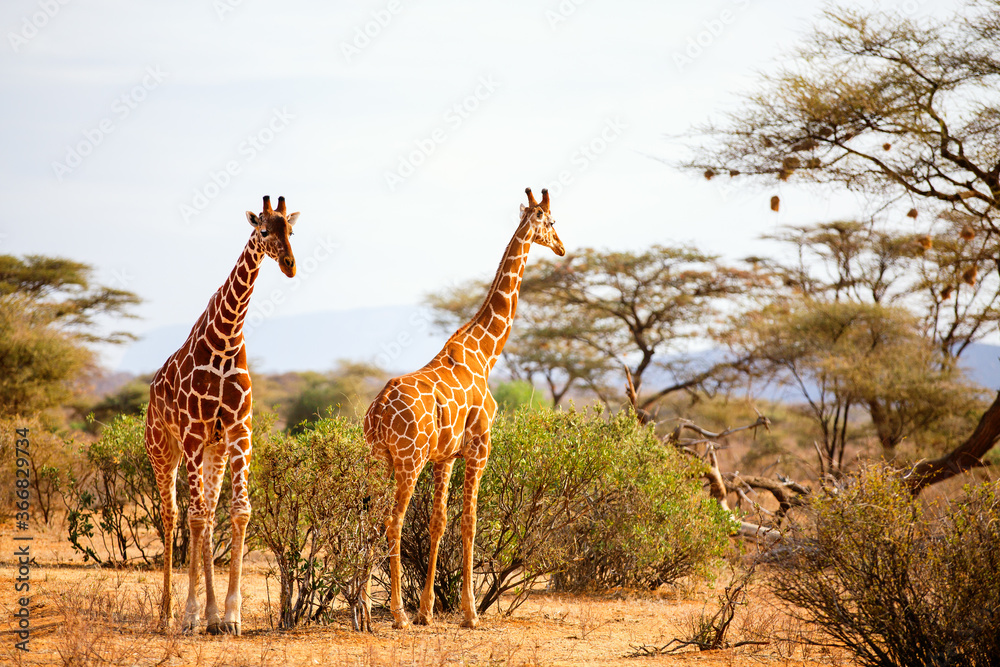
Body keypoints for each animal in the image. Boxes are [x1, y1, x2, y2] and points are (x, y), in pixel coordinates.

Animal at [145, 195, 299, 635]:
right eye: (263, 230)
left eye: (291, 230)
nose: (289, 265)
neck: (225, 338)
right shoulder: (195, 432)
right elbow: (195, 518)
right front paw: (192, 614)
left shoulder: (238, 429)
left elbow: (238, 511)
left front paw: (230, 616)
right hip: (164, 451)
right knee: (175, 516)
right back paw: (169, 612)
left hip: (213, 450)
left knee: (210, 515)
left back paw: (211, 616)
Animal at [363, 188, 565, 629]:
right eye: (552, 221)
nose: (562, 247)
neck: (486, 353)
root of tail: (379, 410)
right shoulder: (479, 447)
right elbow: (469, 523)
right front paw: (469, 613)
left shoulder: (445, 457)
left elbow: (439, 523)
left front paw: (427, 611)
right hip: (408, 461)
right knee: (392, 521)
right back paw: (397, 615)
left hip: (379, 459)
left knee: (367, 518)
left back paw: (365, 611)